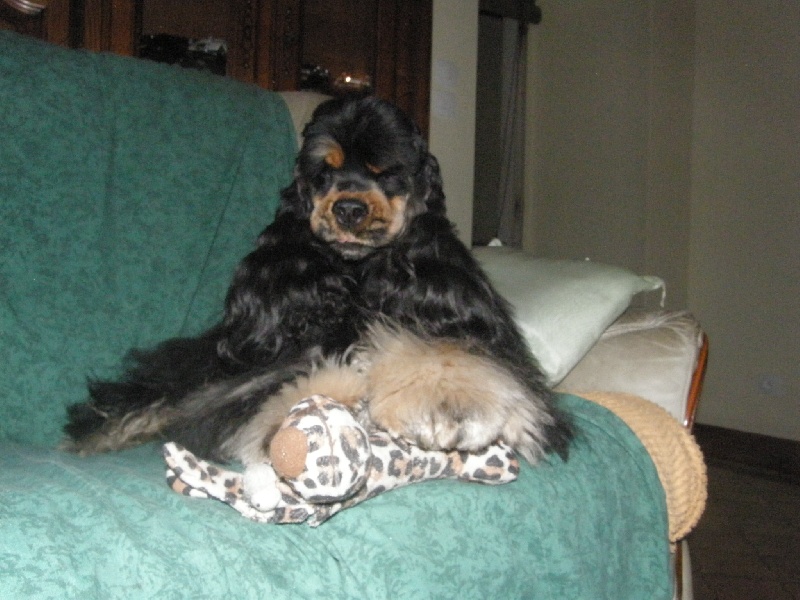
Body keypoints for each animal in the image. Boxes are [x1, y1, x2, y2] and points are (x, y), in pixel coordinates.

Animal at [63, 96, 572, 466]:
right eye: (323, 172)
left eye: (388, 172)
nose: (348, 209)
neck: (357, 277)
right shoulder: (276, 363)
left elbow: (443, 351)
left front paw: (451, 407)